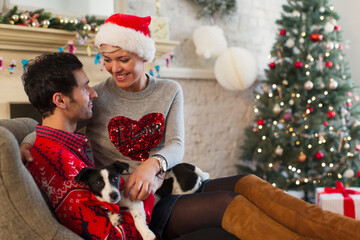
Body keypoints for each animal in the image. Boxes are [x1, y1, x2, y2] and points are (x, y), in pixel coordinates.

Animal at [75, 161, 210, 240]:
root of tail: (184, 165)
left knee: (198, 181)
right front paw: (114, 217)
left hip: (185, 187)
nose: (114, 195)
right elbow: (106, 208)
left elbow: (138, 221)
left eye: (115, 178)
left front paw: (147, 234)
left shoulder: (135, 202)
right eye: (98, 183)